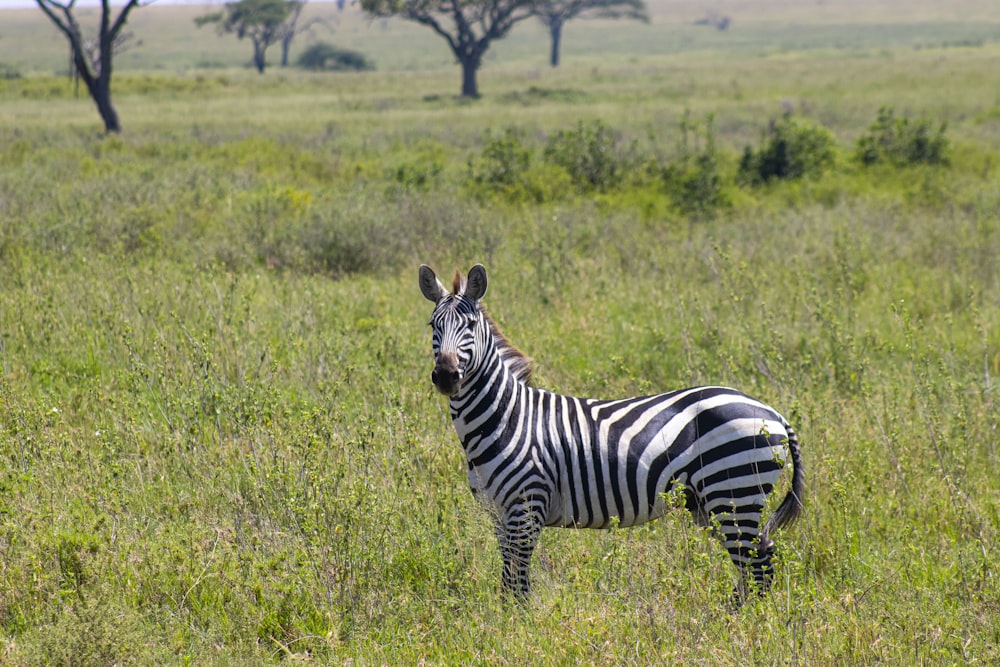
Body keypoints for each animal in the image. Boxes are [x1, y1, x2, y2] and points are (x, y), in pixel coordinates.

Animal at [416, 264, 804, 604]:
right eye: (433, 325)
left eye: (469, 325)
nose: (446, 376)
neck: (505, 418)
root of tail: (773, 413)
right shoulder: (498, 514)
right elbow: (507, 579)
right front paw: (506, 621)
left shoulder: (527, 507)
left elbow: (519, 582)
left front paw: (518, 625)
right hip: (718, 501)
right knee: (757, 561)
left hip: (734, 490)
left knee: (758, 566)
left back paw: (745, 624)